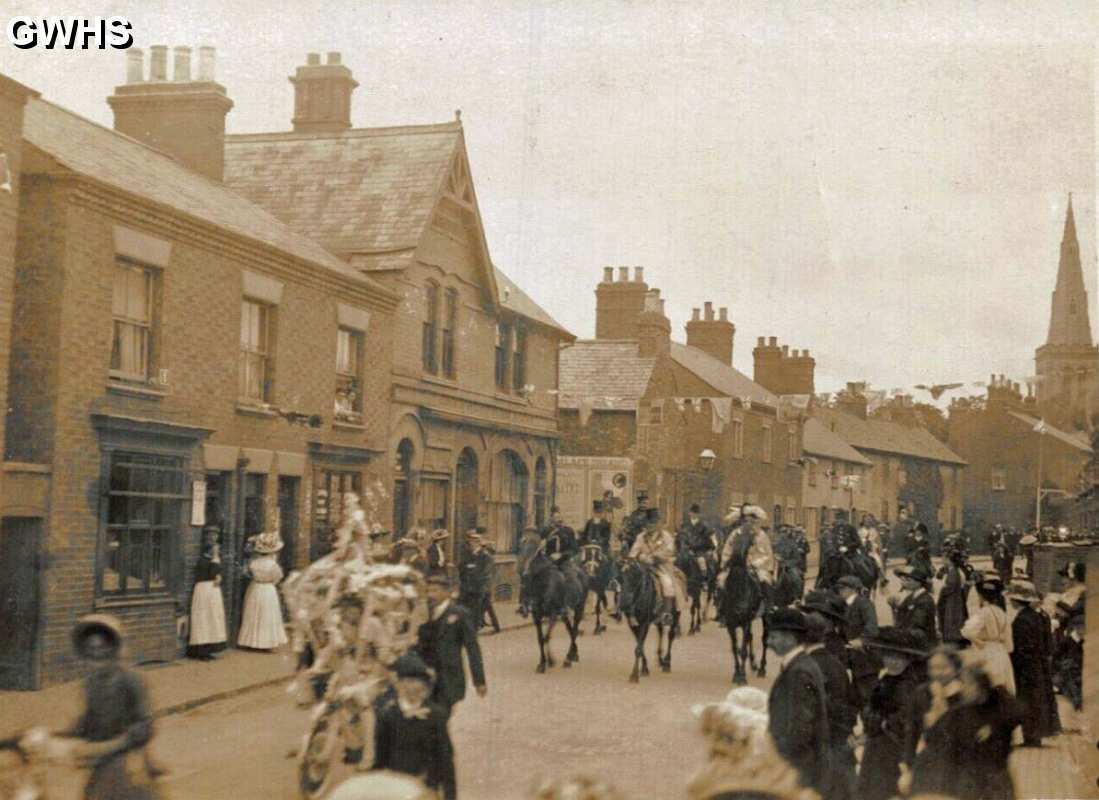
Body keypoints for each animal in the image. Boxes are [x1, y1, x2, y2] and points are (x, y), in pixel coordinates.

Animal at [720, 527, 764, 685]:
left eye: (750, 541)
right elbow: (734, 648)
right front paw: (736, 673)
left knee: (761, 639)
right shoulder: (730, 624)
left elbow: (743, 650)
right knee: (750, 637)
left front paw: (742, 677)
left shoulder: (745, 621)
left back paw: (759, 667)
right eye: (732, 541)